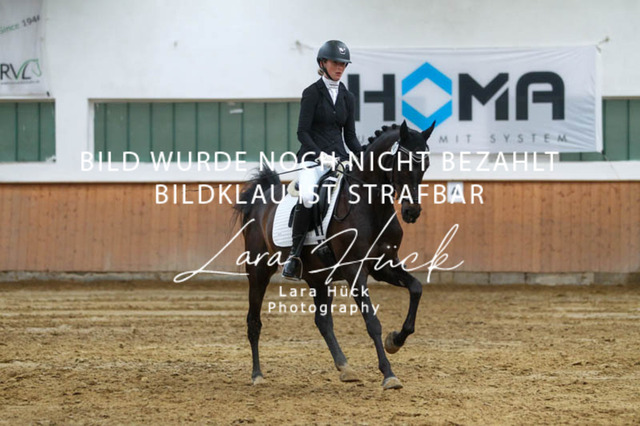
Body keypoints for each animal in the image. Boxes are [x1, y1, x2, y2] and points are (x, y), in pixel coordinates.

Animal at [232, 120, 435, 389]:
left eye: (426, 164)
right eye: (402, 162)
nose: (412, 212)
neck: (370, 206)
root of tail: (261, 197)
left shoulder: (384, 266)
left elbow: (416, 289)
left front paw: (395, 341)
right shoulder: (354, 270)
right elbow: (372, 322)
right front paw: (388, 374)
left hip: (318, 277)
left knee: (323, 322)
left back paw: (345, 367)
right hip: (258, 270)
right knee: (254, 321)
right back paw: (257, 374)